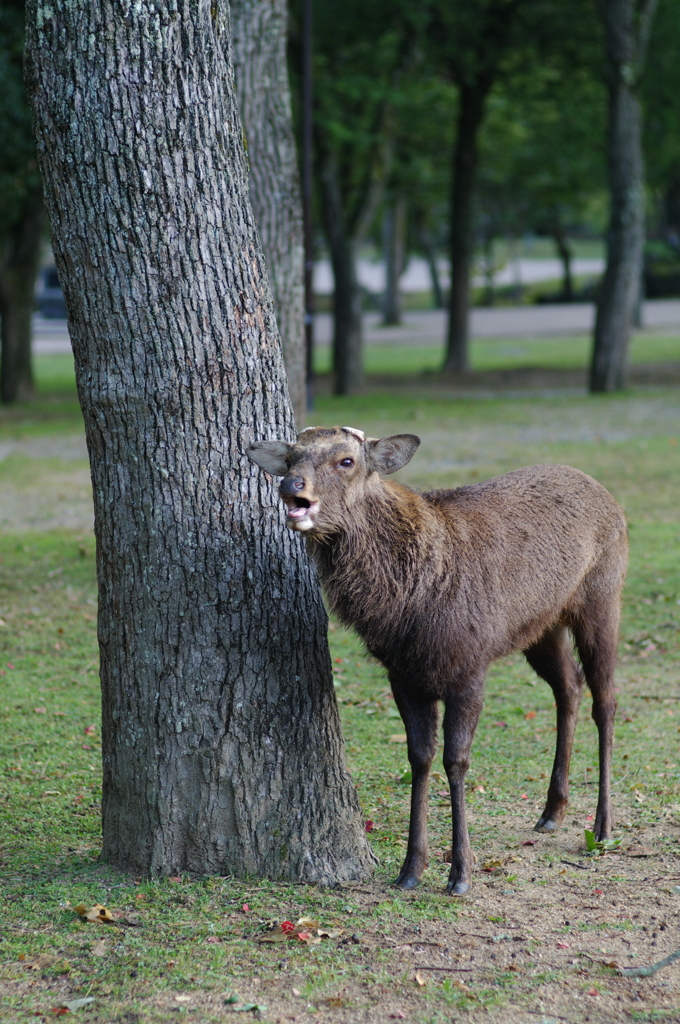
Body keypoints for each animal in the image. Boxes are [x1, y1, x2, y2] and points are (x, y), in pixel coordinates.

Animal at [246, 428, 630, 892]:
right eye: (291, 458)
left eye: (346, 461)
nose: (291, 486)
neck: (405, 607)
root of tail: (605, 493)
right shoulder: (402, 675)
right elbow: (419, 757)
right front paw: (411, 867)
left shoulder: (470, 666)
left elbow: (456, 759)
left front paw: (460, 872)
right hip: (542, 626)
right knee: (569, 685)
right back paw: (552, 810)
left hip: (603, 596)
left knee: (605, 699)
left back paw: (604, 826)